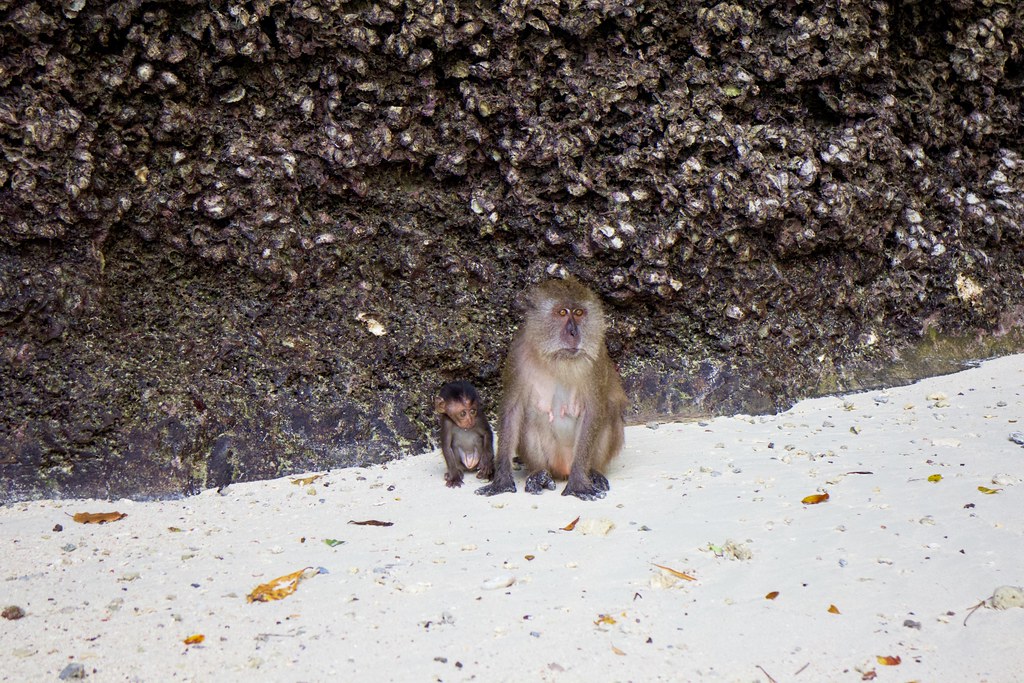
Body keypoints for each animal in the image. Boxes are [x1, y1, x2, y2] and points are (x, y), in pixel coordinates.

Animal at [476, 277, 627, 500]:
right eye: (562, 312)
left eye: (579, 313)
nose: (573, 332)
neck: (557, 358)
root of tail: (563, 468)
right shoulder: (518, 353)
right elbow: (513, 410)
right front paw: (501, 479)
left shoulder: (596, 358)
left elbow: (593, 411)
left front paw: (579, 482)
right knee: (530, 417)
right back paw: (539, 473)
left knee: (609, 411)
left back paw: (593, 472)